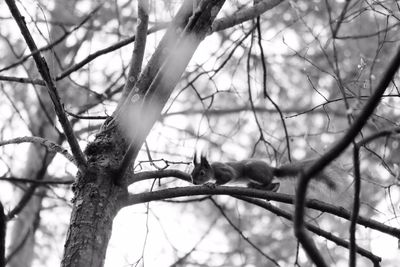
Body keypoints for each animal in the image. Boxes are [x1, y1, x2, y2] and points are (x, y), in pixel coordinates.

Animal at [191, 154, 334, 192]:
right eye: (192, 173)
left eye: (202, 173)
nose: (194, 182)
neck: (212, 169)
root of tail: (272, 169)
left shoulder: (223, 170)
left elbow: (228, 176)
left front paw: (212, 184)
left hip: (252, 170)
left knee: (269, 181)